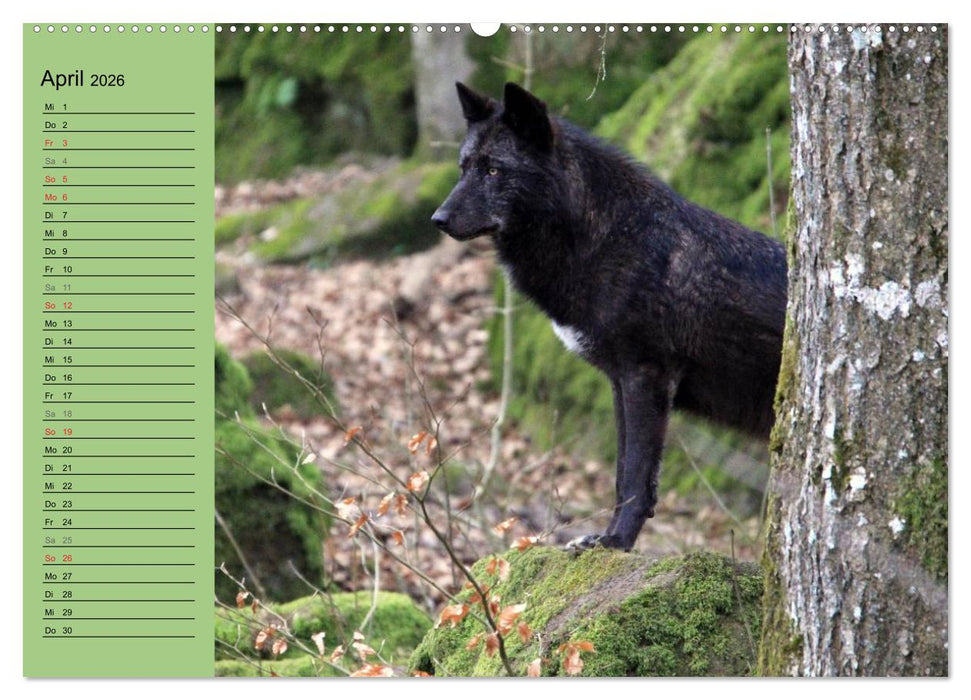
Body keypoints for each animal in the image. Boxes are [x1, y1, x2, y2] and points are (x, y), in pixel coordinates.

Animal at [432, 82, 788, 552]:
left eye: (493, 171)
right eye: (463, 168)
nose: (437, 219)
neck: (610, 238)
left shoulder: (646, 375)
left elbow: (636, 477)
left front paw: (616, 542)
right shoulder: (619, 381)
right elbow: (623, 476)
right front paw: (607, 537)